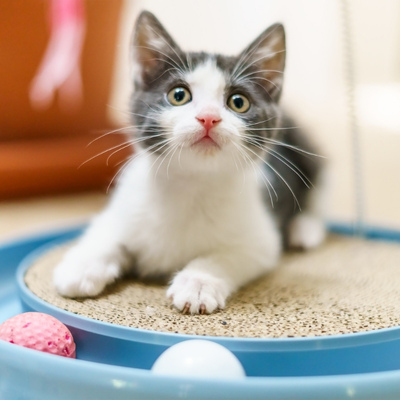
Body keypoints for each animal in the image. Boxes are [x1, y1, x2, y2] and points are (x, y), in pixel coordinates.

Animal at [53, 10, 326, 314]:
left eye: (238, 102)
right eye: (178, 95)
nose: (208, 117)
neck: (191, 184)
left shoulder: (261, 239)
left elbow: (227, 255)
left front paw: (198, 283)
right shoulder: (123, 209)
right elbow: (105, 233)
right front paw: (81, 267)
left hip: (306, 149)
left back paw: (305, 230)